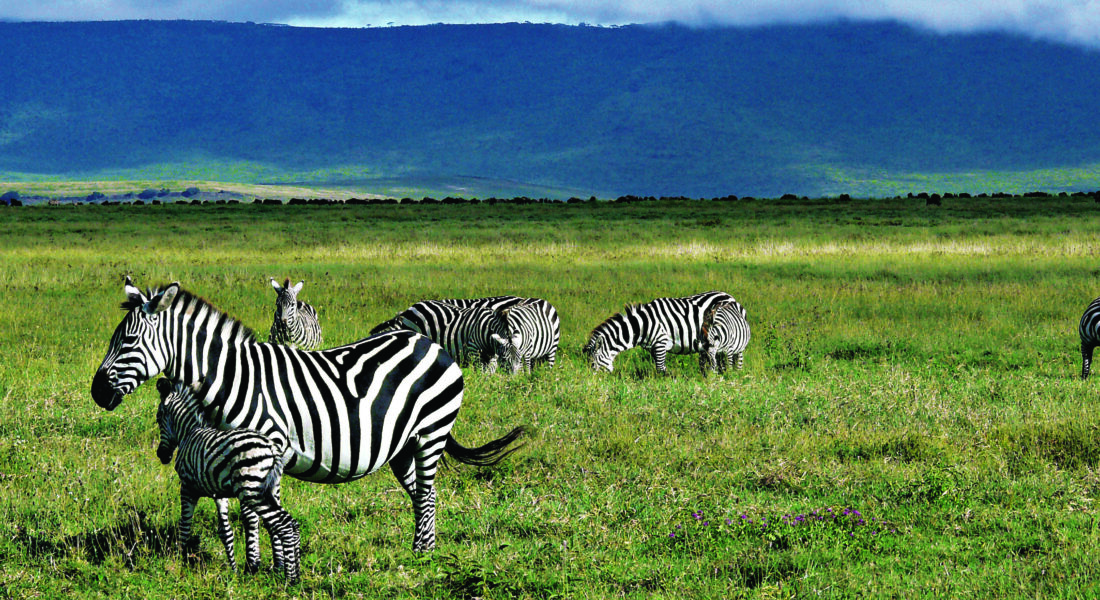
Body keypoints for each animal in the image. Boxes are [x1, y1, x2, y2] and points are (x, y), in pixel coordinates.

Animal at [154, 378, 300, 582]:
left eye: (158, 418)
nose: (162, 455)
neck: (189, 432)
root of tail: (272, 448)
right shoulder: (218, 493)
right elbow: (226, 532)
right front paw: (234, 571)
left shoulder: (187, 486)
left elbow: (184, 524)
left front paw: (178, 561)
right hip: (269, 490)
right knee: (292, 523)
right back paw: (297, 573)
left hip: (252, 491)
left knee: (285, 525)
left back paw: (290, 579)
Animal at [583, 291, 734, 373]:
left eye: (592, 364)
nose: (594, 383)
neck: (642, 326)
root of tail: (729, 296)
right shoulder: (653, 348)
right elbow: (658, 367)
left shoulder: (661, 342)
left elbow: (660, 369)